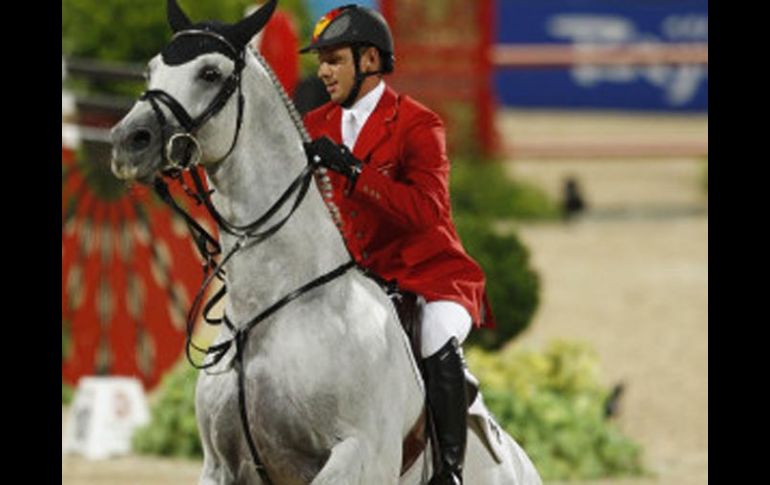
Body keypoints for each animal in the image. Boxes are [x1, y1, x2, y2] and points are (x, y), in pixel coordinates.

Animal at [109, 1, 540, 482]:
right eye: (151, 70)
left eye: (210, 73)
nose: (128, 142)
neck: (269, 310)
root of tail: (521, 461)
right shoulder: (219, 465)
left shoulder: (359, 455)